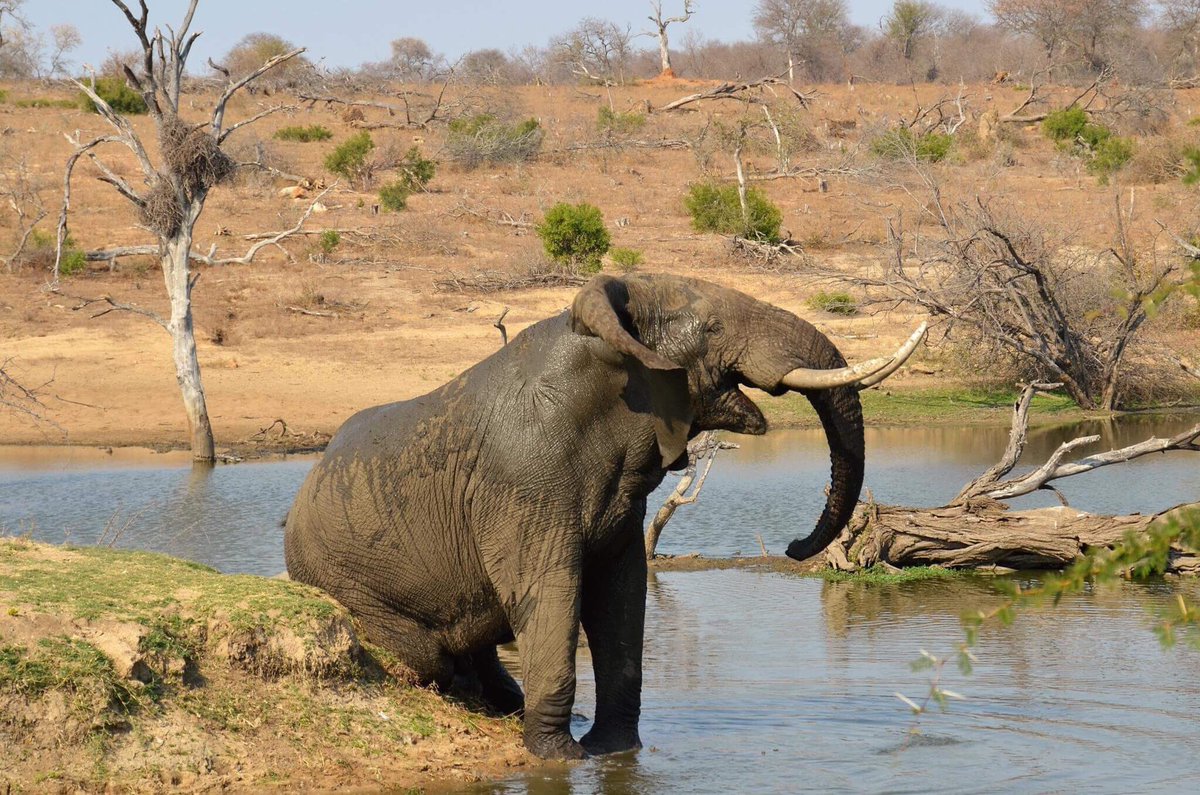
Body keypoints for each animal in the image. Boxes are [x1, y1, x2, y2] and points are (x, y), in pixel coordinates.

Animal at [284, 273, 924, 759]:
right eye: (712, 328)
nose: (793, 547)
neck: (602, 337)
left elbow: (621, 593)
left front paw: (615, 753)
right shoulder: (524, 483)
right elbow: (551, 591)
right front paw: (560, 758)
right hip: (343, 583)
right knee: (427, 656)